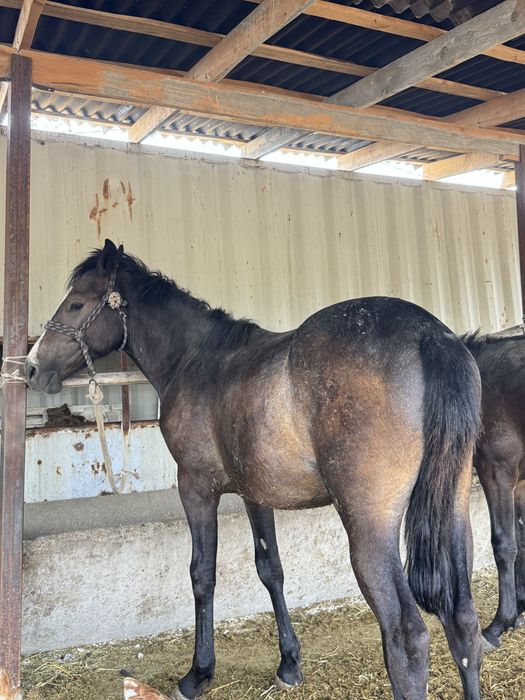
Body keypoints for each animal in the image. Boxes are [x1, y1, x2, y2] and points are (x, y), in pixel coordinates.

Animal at [26, 239, 483, 700]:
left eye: (76, 304)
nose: (31, 367)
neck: (196, 360)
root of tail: (428, 335)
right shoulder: (254, 493)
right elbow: (271, 570)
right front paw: (289, 664)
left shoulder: (196, 487)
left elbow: (202, 574)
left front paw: (198, 673)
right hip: (453, 510)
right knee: (463, 622)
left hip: (369, 526)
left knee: (407, 636)